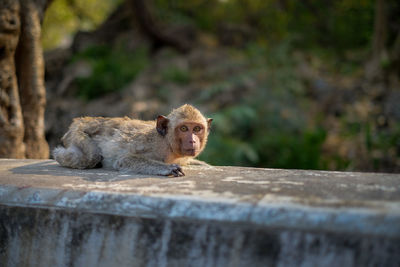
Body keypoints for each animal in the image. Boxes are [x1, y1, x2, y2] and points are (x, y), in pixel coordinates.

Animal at [53, 105, 212, 178]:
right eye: (184, 128)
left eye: (197, 128)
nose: (192, 141)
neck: (166, 143)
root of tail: (82, 120)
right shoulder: (149, 144)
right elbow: (124, 159)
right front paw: (167, 168)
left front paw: (205, 165)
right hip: (76, 132)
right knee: (90, 158)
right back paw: (57, 153)